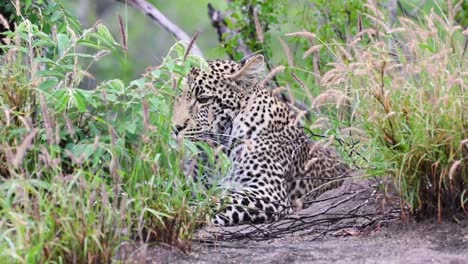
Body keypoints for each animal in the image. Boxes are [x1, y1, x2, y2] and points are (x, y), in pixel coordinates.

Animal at [173, 54, 352, 226]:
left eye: (203, 99)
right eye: (177, 96)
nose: (175, 128)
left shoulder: (268, 191)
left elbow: (219, 202)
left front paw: (187, 215)